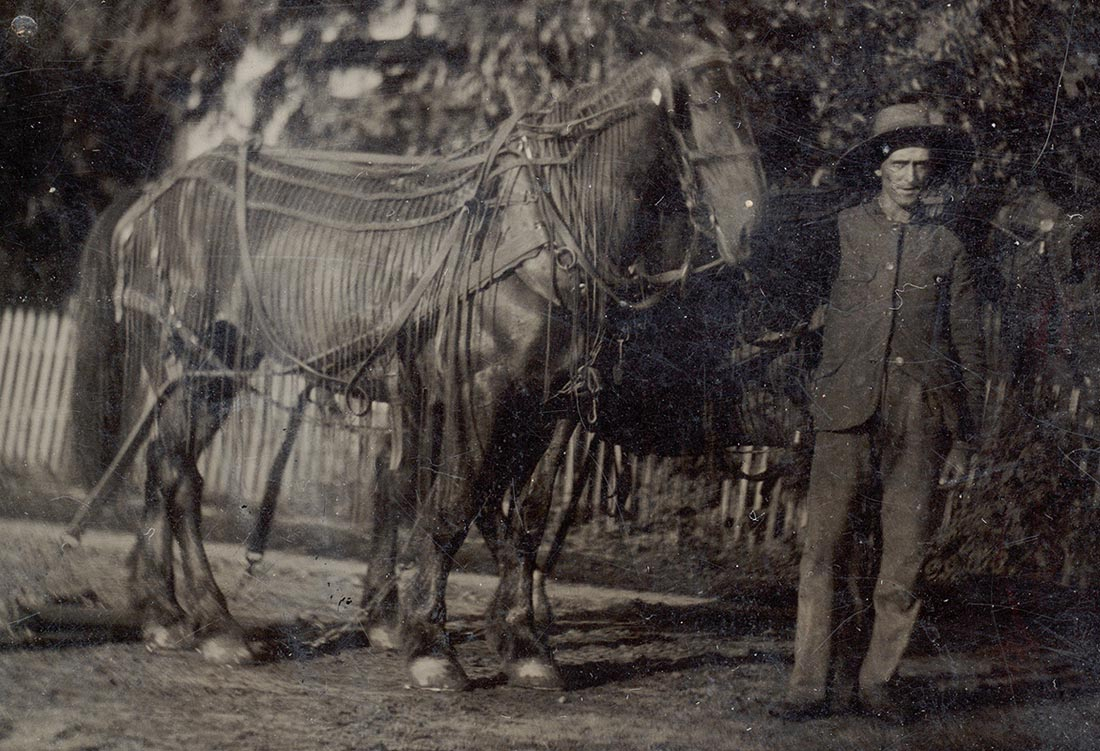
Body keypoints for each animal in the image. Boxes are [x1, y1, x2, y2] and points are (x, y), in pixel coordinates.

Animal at [68, 33, 765, 694]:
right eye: (701, 107)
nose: (752, 233)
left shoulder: (556, 402)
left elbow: (524, 517)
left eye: (750, 110)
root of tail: (154, 197)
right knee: (178, 473)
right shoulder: (478, 392)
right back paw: (215, 625)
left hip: (205, 374)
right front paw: (431, 646)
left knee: (162, 464)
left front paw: (523, 644)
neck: (543, 231)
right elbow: (453, 504)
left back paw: (165, 614)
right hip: (201, 360)